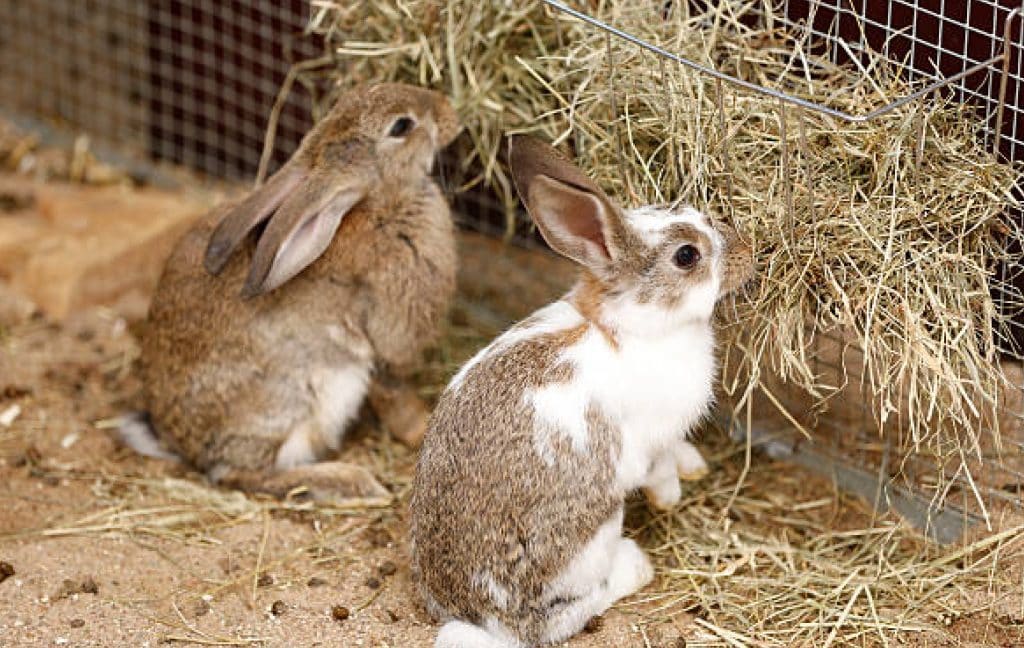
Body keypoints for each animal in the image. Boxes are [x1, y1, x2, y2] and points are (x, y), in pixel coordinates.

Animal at [121, 83, 460, 502]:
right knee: (240, 475)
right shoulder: (389, 335)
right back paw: (352, 481)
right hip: (286, 403)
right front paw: (420, 431)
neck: (379, 205)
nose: (450, 111)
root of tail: (178, 443)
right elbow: (396, 395)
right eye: (402, 126)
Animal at [410, 135, 753, 648]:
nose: (749, 252)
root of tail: (482, 619)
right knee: (561, 617)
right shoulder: (649, 440)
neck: (633, 325)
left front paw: (694, 466)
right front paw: (670, 497)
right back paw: (635, 565)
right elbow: (658, 469)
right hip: (593, 536)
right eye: (687, 256)